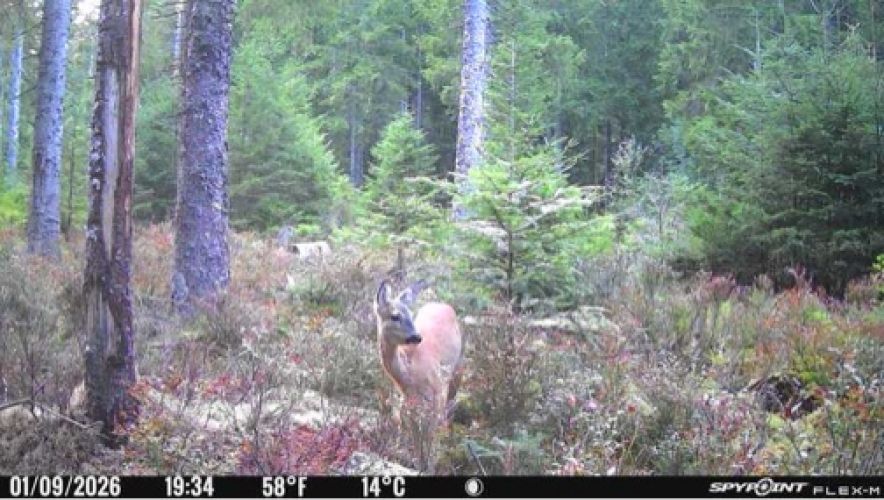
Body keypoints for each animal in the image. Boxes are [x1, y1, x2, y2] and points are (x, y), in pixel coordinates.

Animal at [373, 279, 464, 473]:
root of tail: (442, 304)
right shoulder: (409, 403)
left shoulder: (438, 392)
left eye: (410, 314)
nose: (416, 336)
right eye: (395, 316)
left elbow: (430, 435)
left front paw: (430, 467)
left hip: (457, 370)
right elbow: (416, 437)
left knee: (450, 410)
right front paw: (419, 466)